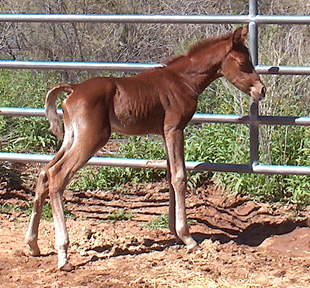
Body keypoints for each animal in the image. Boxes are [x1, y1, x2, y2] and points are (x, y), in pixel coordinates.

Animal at [25, 25, 266, 272]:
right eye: (242, 64)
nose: (262, 90)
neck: (182, 80)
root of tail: (72, 90)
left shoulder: (165, 133)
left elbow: (170, 175)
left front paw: (175, 232)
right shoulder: (174, 129)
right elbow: (180, 176)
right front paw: (187, 237)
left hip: (71, 138)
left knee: (44, 173)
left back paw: (33, 244)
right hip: (91, 139)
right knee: (57, 176)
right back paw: (63, 254)